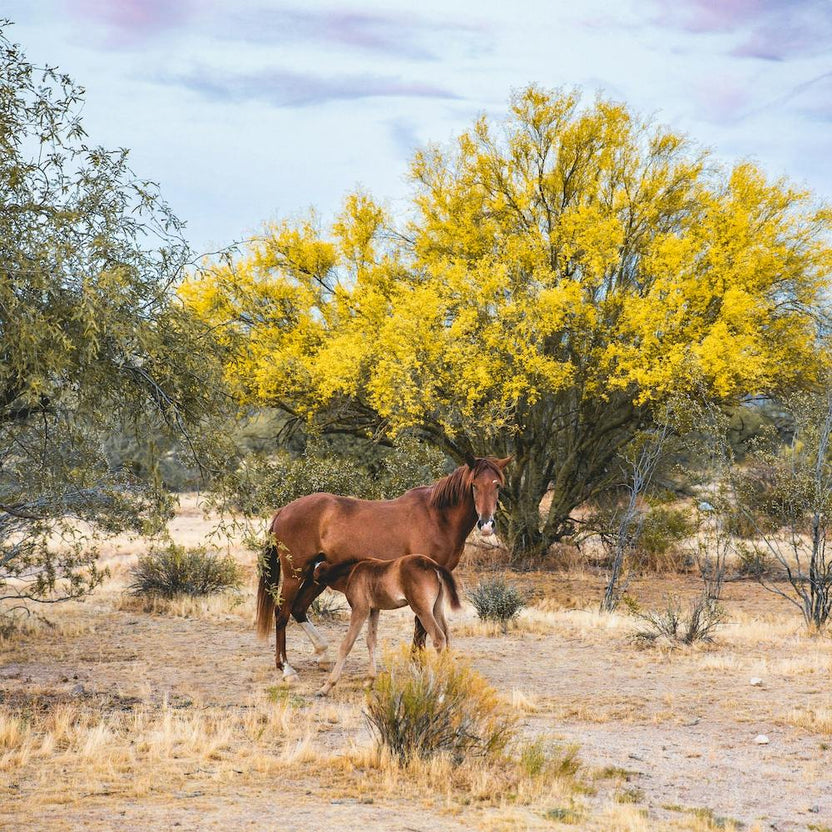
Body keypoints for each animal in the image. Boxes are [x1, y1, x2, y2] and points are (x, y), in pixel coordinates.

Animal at [255, 456, 511, 680]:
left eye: (497, 485)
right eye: (474, 485)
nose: (486, 524)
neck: (437, 517)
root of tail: (283, 511)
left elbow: (422, 626)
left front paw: (416, 663)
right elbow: (420, 625)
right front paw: (416, 665)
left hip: (316, 575)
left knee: (299, 609)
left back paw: (322, 655)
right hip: (294, 574)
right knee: (282, 613)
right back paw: (286, 667)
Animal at [310, 554, 462, 696]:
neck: (352, 572)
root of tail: (434, 566)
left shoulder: (360, 610)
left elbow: (346, 645)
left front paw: (326, 687)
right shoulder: (374, 610)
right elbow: (371, 641)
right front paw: (369, 681)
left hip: (422, 610)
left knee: (439, 638)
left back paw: (439, 686)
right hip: (437, 608)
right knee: (447, 636)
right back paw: (449, 681)